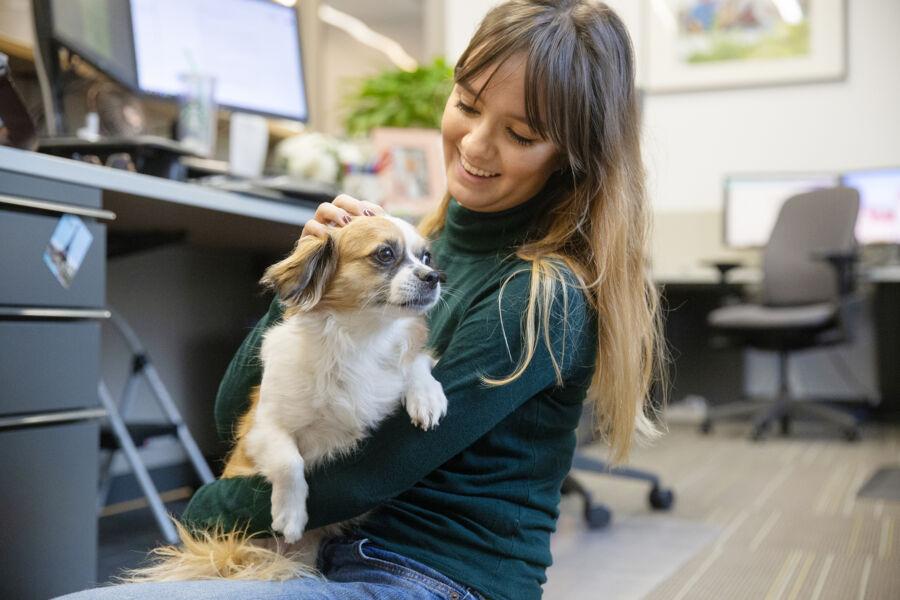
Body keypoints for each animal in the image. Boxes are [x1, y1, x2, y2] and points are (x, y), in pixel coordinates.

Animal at [129, 214, 446, 580]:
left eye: (426, 257)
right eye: (385, 254)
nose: (435, 277)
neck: (361, 339)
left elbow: (417, 361)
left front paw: (427, 397)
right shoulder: (263, 430)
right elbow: (288, 461)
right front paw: (290, 516)